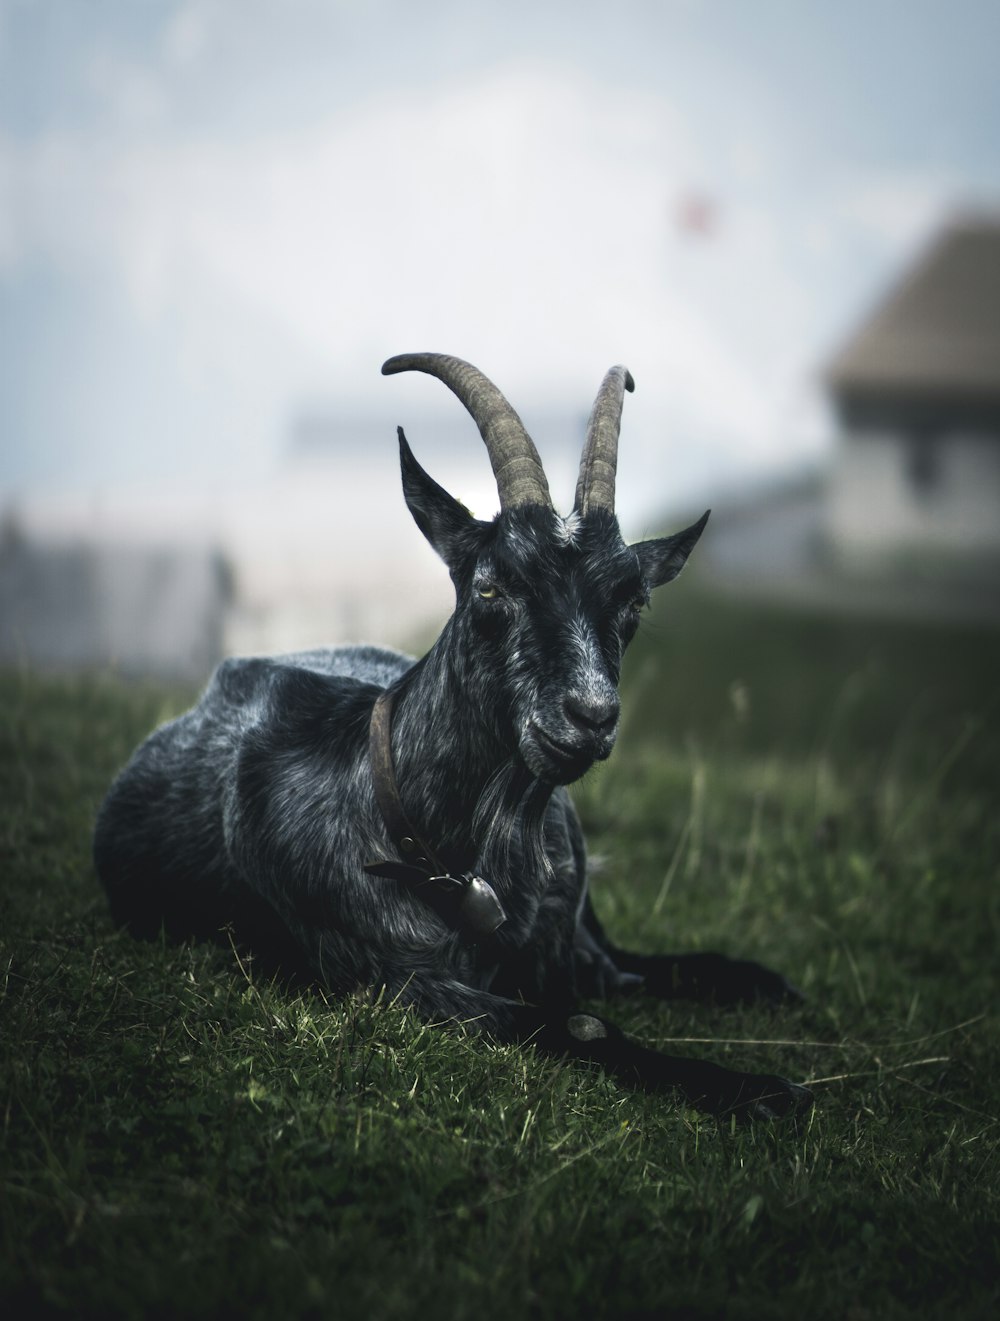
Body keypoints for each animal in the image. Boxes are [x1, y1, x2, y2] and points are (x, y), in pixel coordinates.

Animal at [93, 356, 813, 1120]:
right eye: (492, 587)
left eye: (634, 600)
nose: (589, 714)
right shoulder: (397, 981)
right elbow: (582, 1024)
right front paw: (763, 1089)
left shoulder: (560, 951)